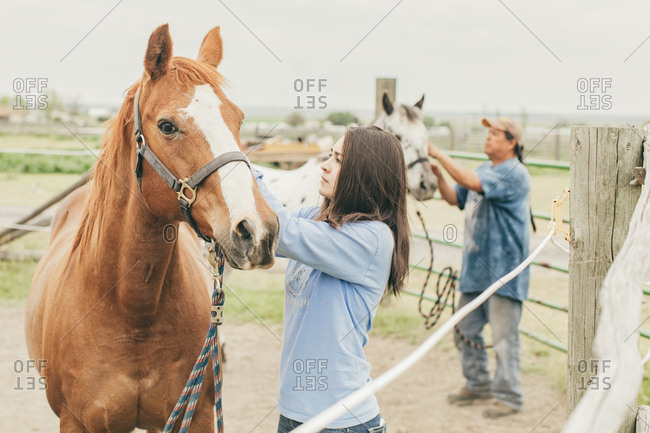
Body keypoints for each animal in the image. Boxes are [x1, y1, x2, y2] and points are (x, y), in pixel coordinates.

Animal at [25, 24, 279, 432]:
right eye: (167, 126)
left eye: (238, 119)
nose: (256, 230)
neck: (131, 310)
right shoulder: (76, 422)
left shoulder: (196, 415)